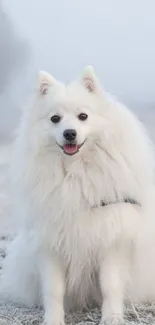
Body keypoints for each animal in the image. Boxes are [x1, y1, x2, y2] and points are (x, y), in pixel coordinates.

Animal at [0, 66, 155, 324]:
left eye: (83, 116)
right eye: (55, 118)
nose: (70, 133)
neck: (75, 173)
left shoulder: (112, 240)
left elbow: (110, 285)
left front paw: (111, 318)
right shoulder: (51, 244)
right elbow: (53, 290)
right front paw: (53, 320)